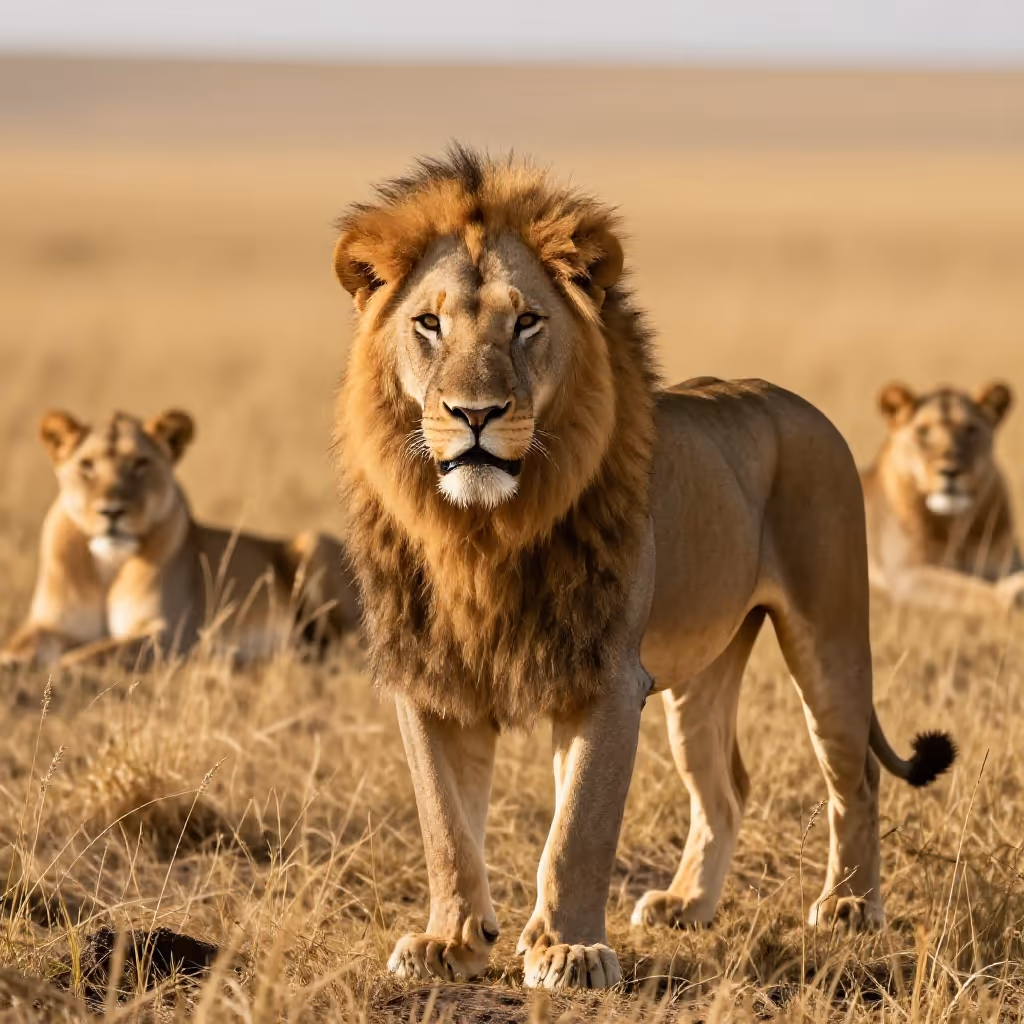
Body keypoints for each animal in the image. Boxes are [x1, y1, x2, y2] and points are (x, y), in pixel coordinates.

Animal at [1, 408, 360, 670]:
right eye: (86, 465)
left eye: (140, 463)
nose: (112, 511)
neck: (108, 563)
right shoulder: (49, 625)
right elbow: (17, 646)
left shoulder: (171, 633)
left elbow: (89, 654)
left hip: (313, 543)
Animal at [332, 146, 956, 991]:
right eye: (428, 323)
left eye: (526, 321)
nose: (475, 415)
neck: (481, 534)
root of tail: (798, 402)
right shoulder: (432, 678)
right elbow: (446, 828)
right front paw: (451, 942)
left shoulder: (605, 677)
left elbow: (579, 830)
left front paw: (566, 950)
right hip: (704, 674)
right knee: (727, 787)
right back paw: (688, 903)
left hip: (829, 638)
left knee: (853, 773)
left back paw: (852, 905)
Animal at [862, 382, 1024, 613]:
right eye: (922, 431)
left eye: (970, 430)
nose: (950, 471)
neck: (953, 525)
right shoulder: (906, 576)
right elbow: (969, 590)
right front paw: (1011, 592)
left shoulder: (1005, 561)